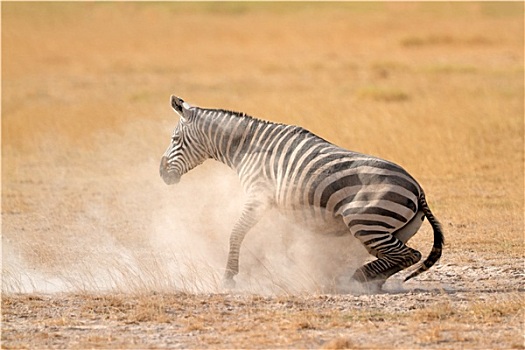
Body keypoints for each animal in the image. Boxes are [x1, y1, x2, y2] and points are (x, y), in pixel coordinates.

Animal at [160, 95, 442, 290]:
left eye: (174, 140)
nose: (162, 173)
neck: (247, 147)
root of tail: (418, 189)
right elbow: (283, 239)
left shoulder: (258, 195)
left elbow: (236, 233)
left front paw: (229, 277)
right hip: (393, 229)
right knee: (400, 257)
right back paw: (368, 280)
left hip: (366, 222)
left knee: (409, 255)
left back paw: (359, 278)